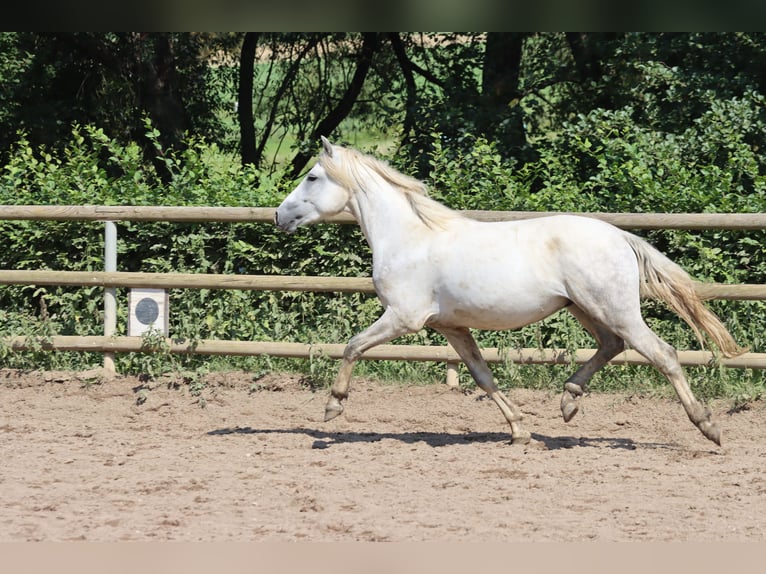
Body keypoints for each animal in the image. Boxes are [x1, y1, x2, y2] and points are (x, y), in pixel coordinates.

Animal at [274, 137, 744, 448]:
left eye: (312, 177)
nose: (279, 216)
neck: (409, 237)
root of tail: (619, 237)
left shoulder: (403, 318)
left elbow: (352, 346)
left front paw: (332, 408)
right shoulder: (451, 328)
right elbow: (483, 376)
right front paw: (520, 430)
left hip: (615, 309)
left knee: (662, 354)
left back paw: (709, 427)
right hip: (586, 308)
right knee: (611, 346)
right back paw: (568, 402)